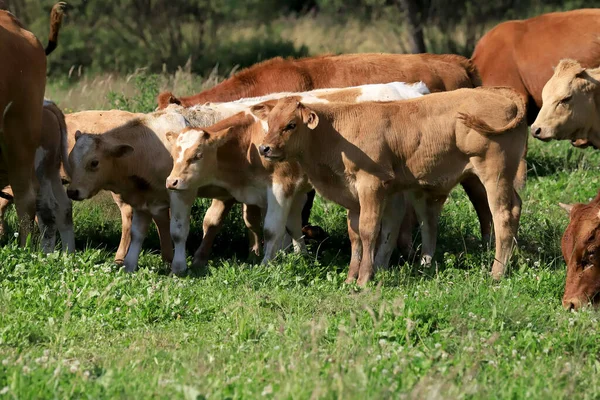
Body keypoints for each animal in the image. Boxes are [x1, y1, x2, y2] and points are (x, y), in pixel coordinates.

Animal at [255, 88, 528, 288]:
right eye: (269, 122)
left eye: (291, 124)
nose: (264, 148)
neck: (336, 134)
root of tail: (499, 92)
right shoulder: (353, 196)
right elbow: (355, 235)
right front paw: (350, 277)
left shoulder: (371, 185)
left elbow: (369, 231)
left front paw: (364, 279)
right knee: (515, 208)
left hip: (493, 174)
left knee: (503, 215)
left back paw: (497, 272)